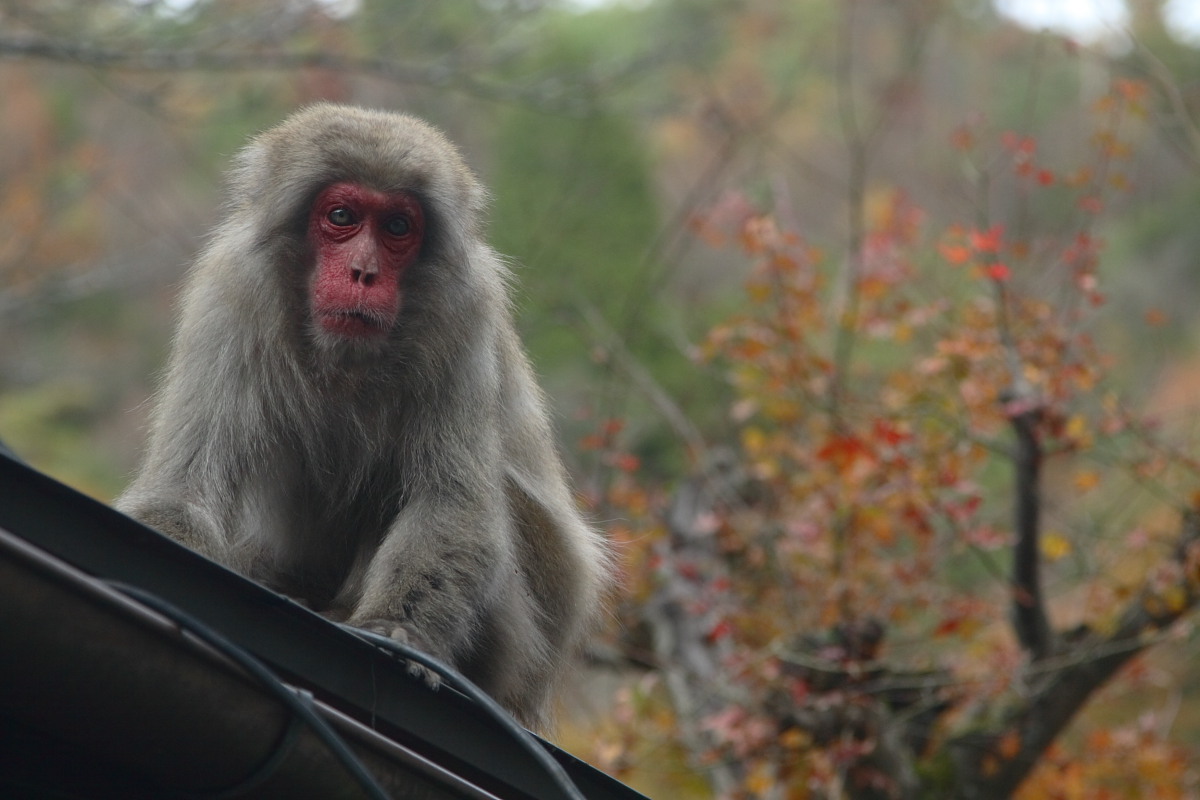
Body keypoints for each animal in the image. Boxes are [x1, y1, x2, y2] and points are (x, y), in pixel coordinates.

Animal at [114, 101, 609, 734]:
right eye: (342, 217)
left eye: (397, 227)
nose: (364, 273)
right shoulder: (231, 290)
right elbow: (184, 489)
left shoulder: (465, 311)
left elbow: (451, 503)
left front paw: (396, 633)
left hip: (519, 658)